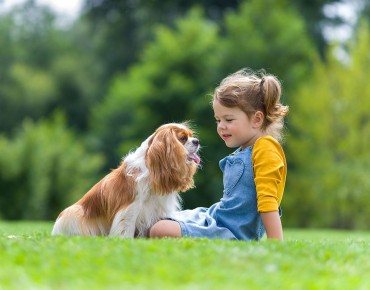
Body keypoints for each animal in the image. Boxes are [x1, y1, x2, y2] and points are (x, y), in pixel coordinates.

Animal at [51, 122, 199, 238]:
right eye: (183, 138)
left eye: (191, 135)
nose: (197, 141)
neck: (151, 166)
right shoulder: (131, 207)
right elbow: (126, 228)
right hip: (73, 213)